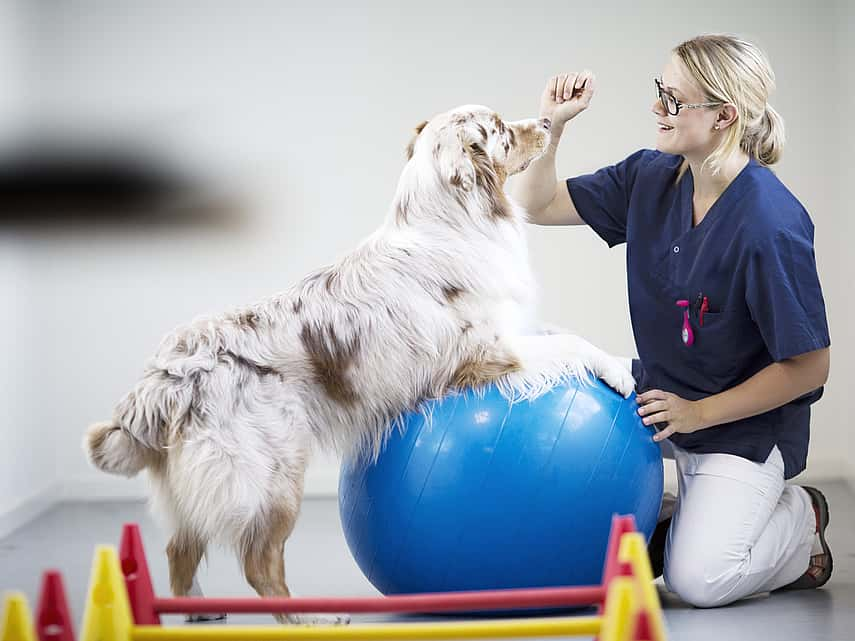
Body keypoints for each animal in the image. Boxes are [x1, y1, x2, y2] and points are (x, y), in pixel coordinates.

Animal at [85, 106, 636, 624]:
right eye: (500, 127)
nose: (545, 121)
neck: (454, 218)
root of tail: (165, 377)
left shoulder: (515, 329)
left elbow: (562, 331)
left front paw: (621, 359)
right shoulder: (488, 353)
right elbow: (572, 344)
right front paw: (620, 372)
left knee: (180, 547)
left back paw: (194, 610)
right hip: (269, 475)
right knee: (258, 563)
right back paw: (309, 619)